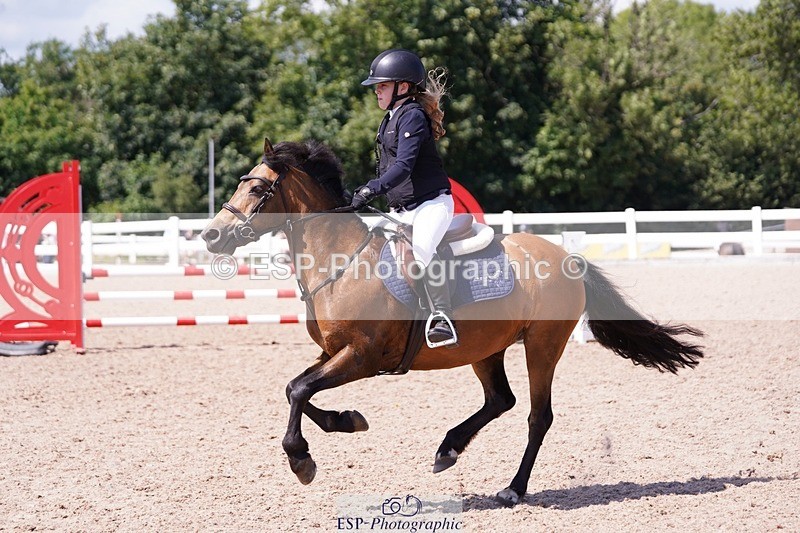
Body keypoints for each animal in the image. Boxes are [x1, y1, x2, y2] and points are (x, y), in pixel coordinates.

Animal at [201, 138, 704, 507]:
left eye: (256, 189)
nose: (210, 235)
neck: (341, 261)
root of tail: (566, 257)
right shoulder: (332, 351)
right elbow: (295, 388)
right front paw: (347, 421)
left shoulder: (361, 356)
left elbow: (301, 390)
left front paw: (302, 460)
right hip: (486, 348)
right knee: (501, 399)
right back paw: (449, 449)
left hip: (542, 345)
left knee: (537, 416)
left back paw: (512, 489)